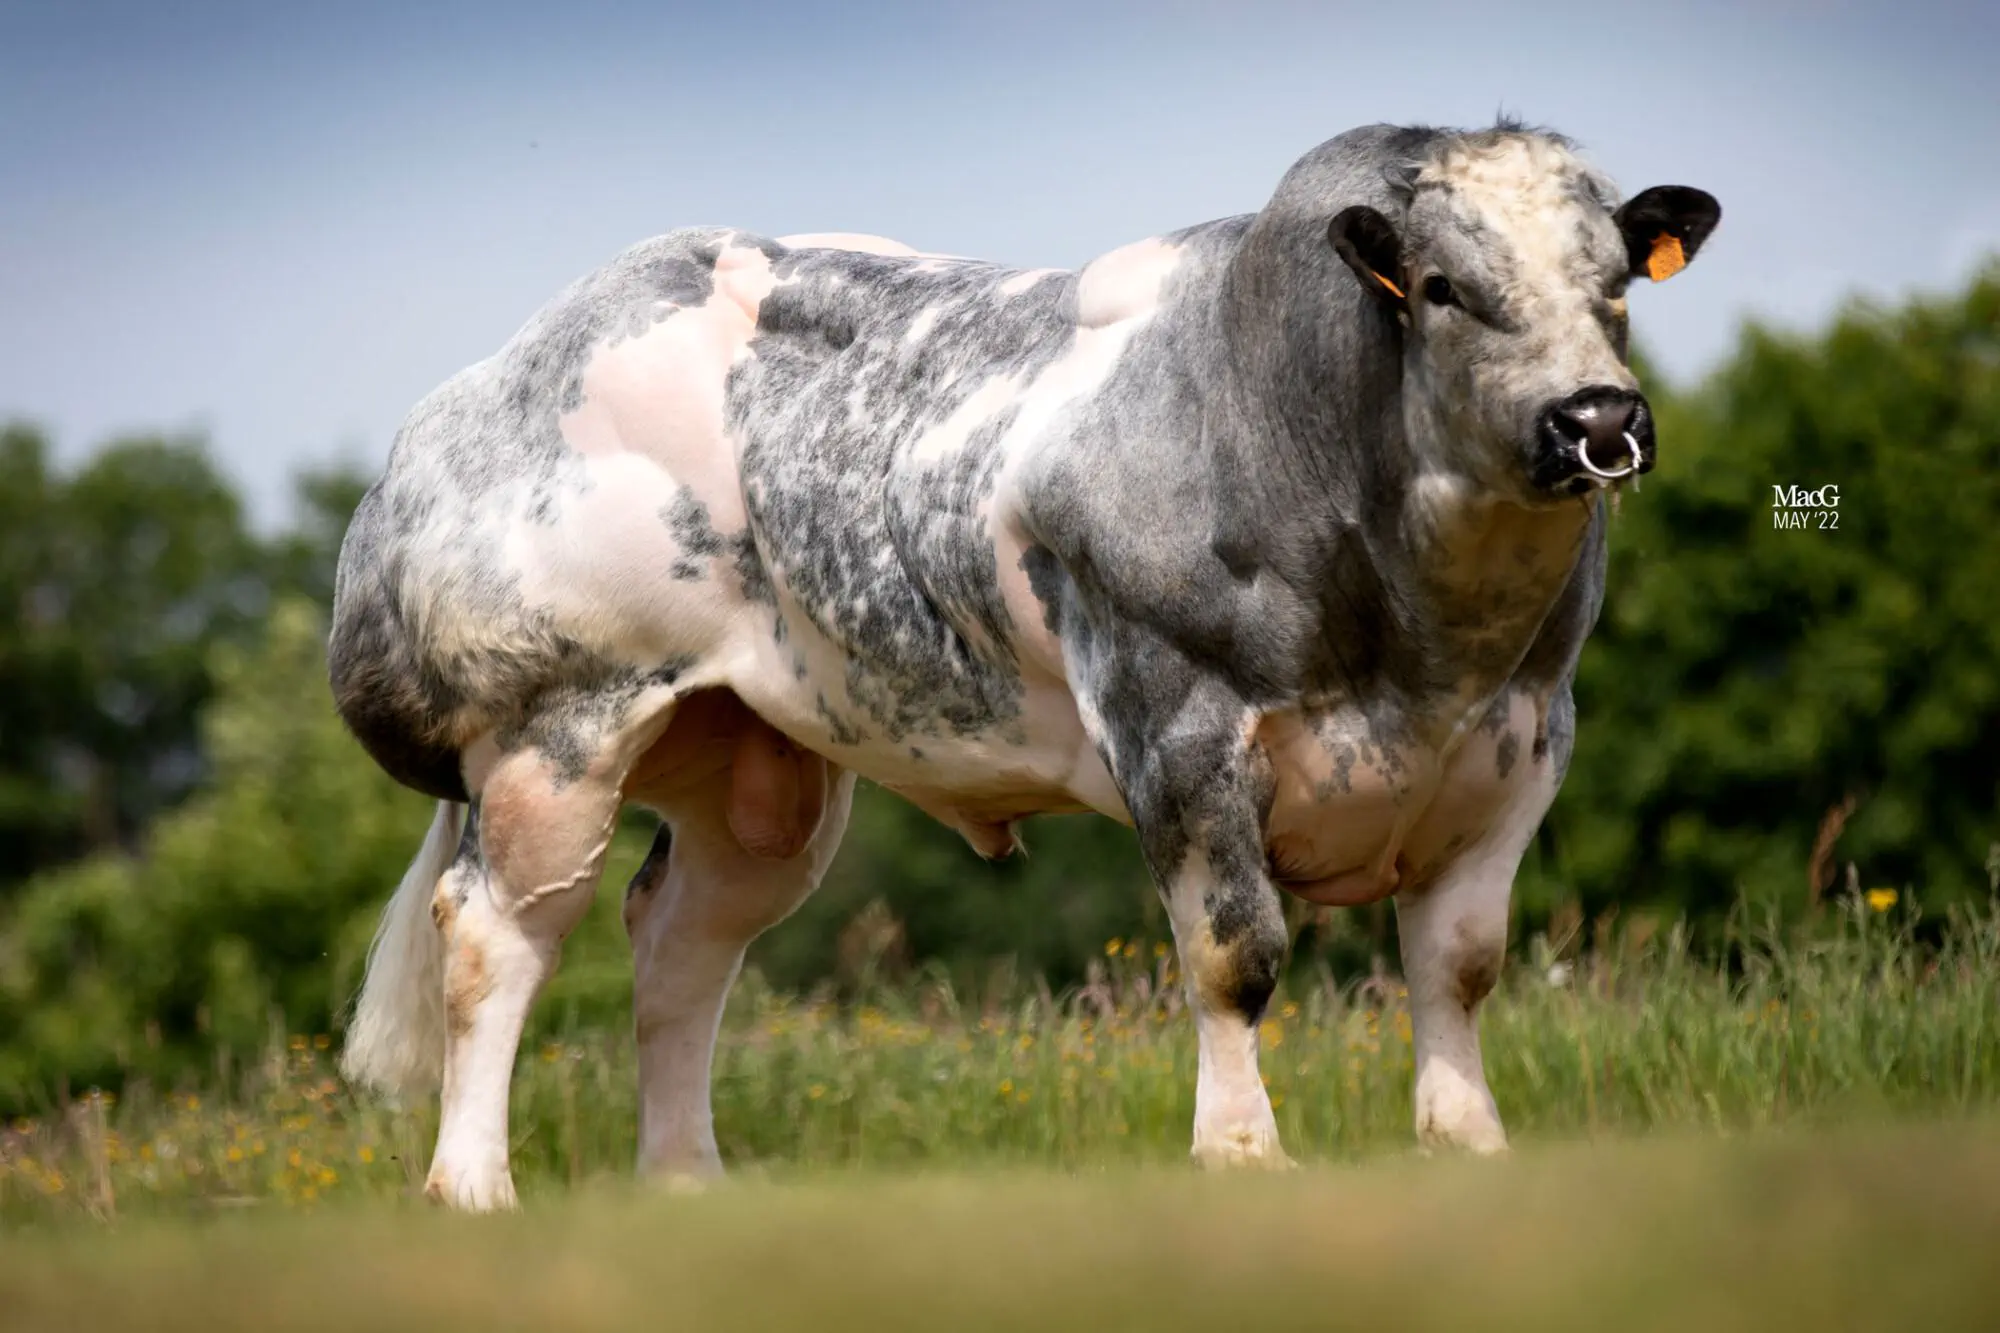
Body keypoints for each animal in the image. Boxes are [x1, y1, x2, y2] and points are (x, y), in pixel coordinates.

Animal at [330, 119, 1719, 1210]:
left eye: (1614, 283)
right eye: (1439, 287)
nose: (1594, 418)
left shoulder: (1519, 742)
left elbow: (1459, 962)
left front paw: (1468, 1143)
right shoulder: (1177, 724)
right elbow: (1235, 954)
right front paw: (1241, 1152)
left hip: (755, 775)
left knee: (678, 943)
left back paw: (684, 1181)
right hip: (546, 731)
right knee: (496, 934)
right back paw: (471, 1185)